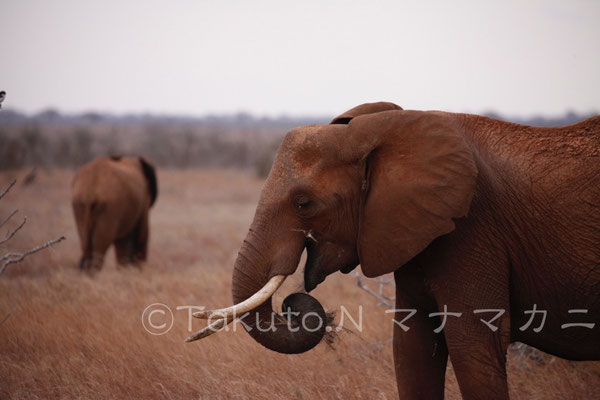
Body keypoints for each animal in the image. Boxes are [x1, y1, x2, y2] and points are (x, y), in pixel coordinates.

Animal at [189, 101, 600, 398]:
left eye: (304, 204)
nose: (293, 305)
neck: (386, 130)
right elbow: (411, 349)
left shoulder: (473, 230)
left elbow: (473, 348)